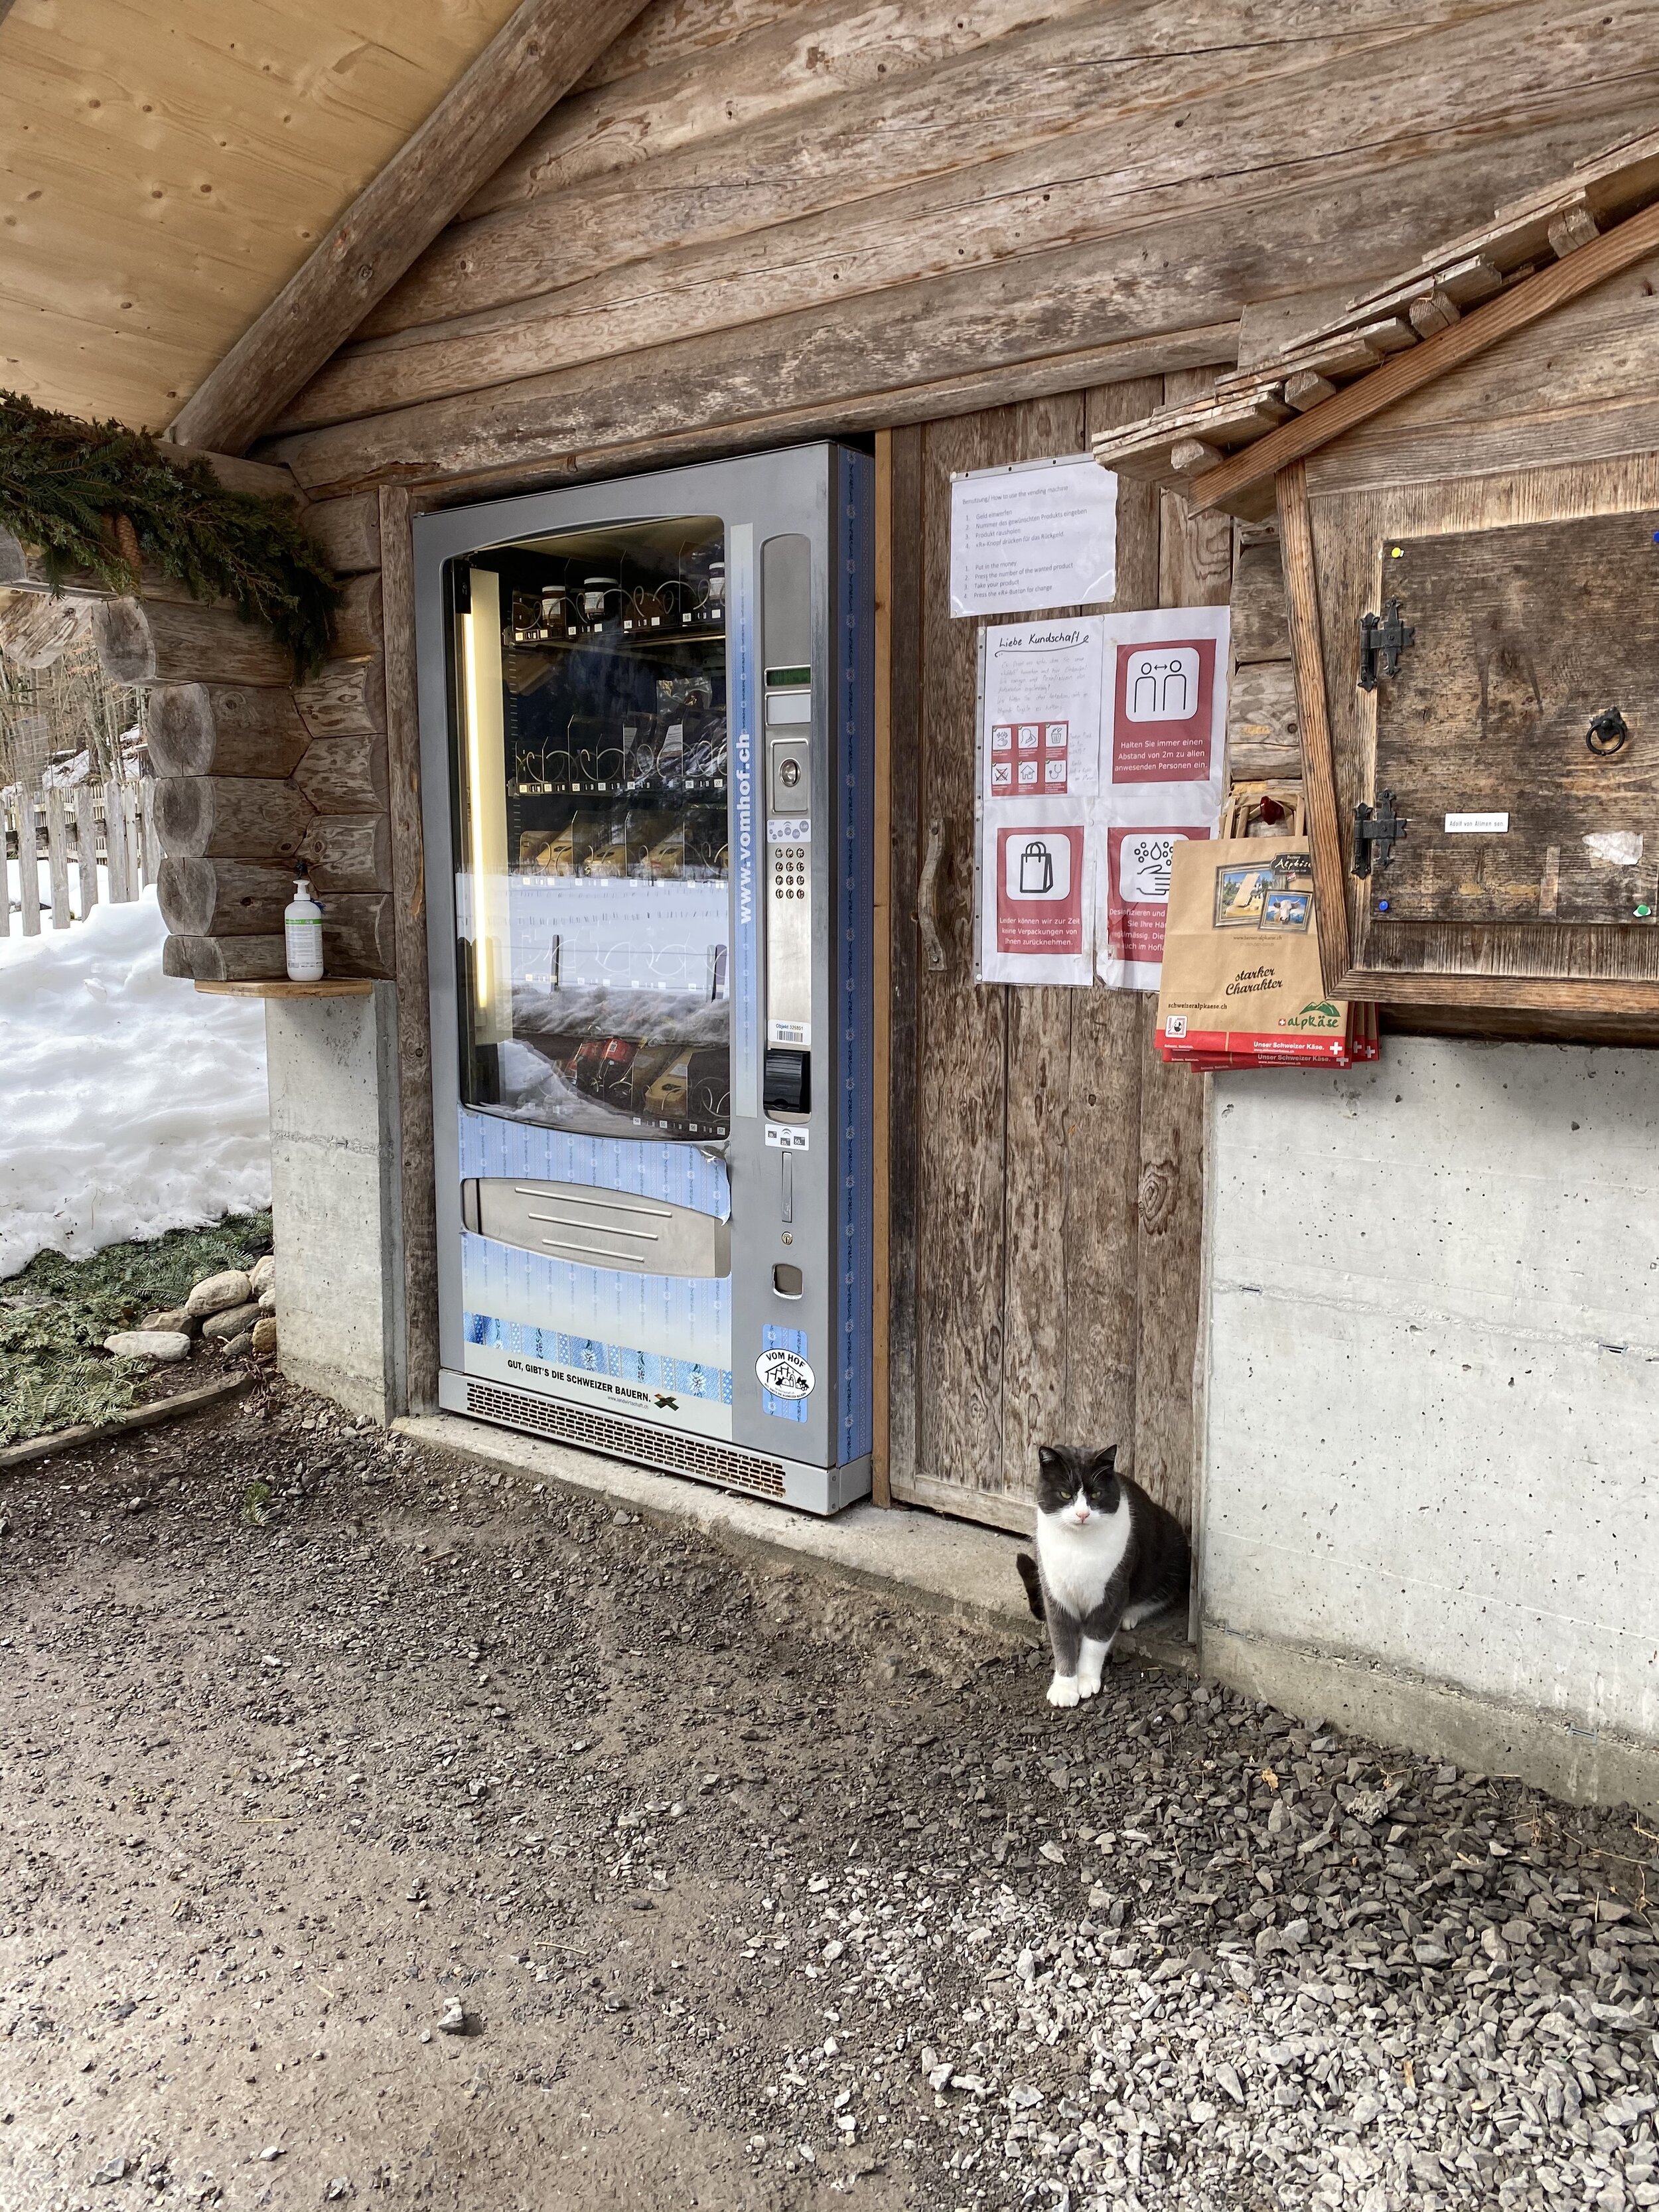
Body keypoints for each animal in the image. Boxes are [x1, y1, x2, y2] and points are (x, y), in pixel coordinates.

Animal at [1013, 1442, 1194, 1698]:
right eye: (1065, 1494)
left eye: (1096, 1494)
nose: (1082, 1514)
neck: (1078, 1545)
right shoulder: (1055, 1592)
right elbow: (1062, 1639)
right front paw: (1064, 1688)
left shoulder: (1112, 1590)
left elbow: (1096, 1640)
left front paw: (1086, 1680)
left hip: (1173, 1551)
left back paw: (1129, 1615)